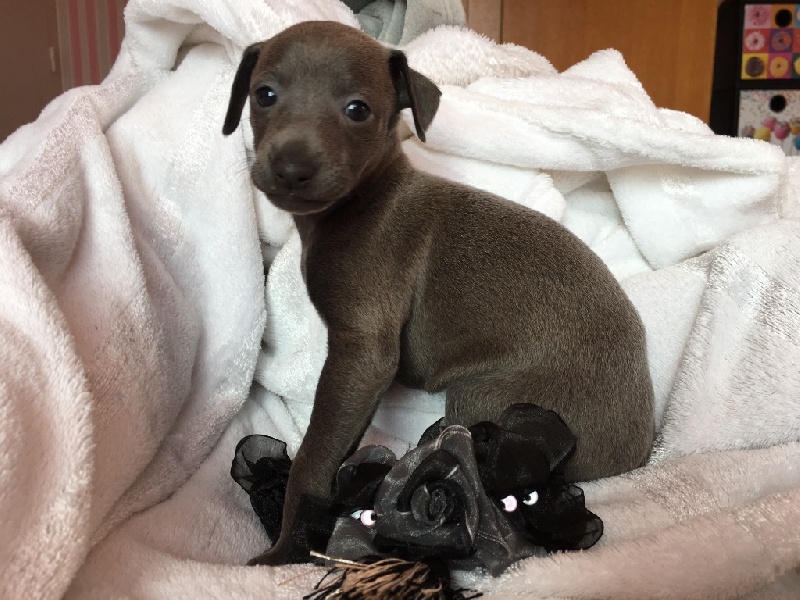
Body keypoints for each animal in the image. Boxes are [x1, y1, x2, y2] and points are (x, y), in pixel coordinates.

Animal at [223, 20, 654, 566]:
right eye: (265, 95)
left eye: (358, 109)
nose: (291, 167)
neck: (364, 201)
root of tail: (641, 448)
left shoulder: (363, 352)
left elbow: (314, 455)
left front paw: (283, 550)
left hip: (484, 396)